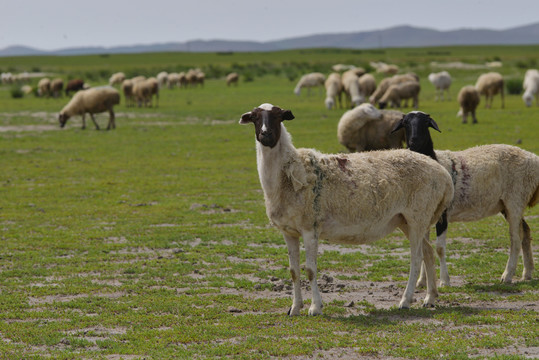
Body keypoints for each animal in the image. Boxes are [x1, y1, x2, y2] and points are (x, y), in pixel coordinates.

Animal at [240, 102, 456, 314]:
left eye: (278, 116)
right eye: (255, 118)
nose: (266, 134)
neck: (288, 174)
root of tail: (443, 174)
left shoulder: (310, 228)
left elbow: (310, 270)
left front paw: (315, 307)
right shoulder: (289, 231)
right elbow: (293, 271)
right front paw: (294, 308)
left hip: (418, 215)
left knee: (416, 258)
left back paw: (405, 300)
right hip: (407, 220)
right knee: (428, 252)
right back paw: (430, 298)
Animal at [392, 111, 539, 286]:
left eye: (425, 123)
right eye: (406, 123)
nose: (414, 142)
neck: (436, 160)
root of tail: (533, 158)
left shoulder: (443, 214)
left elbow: (439, 248)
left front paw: (444, 281)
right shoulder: (424, 214)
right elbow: (424, 247)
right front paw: (422, 281)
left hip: (515, 199)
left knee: (515, 239)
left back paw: (507, 275)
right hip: (510, 203)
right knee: (525, 232)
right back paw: (527, 273)